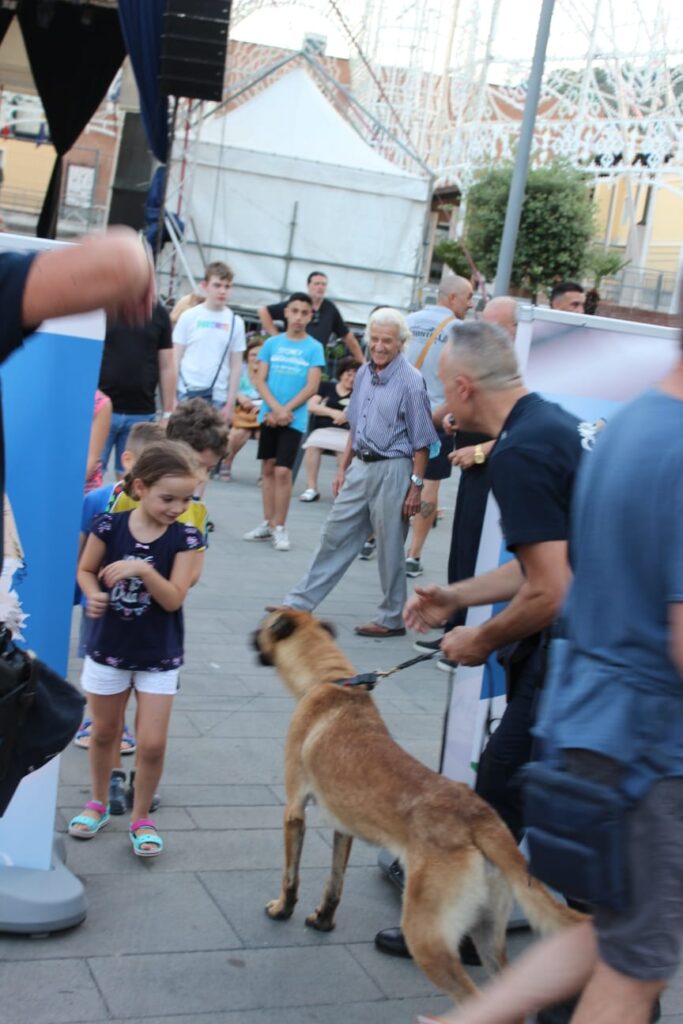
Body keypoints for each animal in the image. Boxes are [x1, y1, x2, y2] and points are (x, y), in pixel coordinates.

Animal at [255, 606, 581, 999]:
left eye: (263, 624)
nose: (251, 639)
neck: (331, 681)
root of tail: (479, 818)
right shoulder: (343, 827)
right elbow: (335, 883)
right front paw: (324, 920)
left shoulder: (294, 810)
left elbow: (291, 875)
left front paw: (281, 909)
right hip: (487, 930)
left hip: (426, 935)